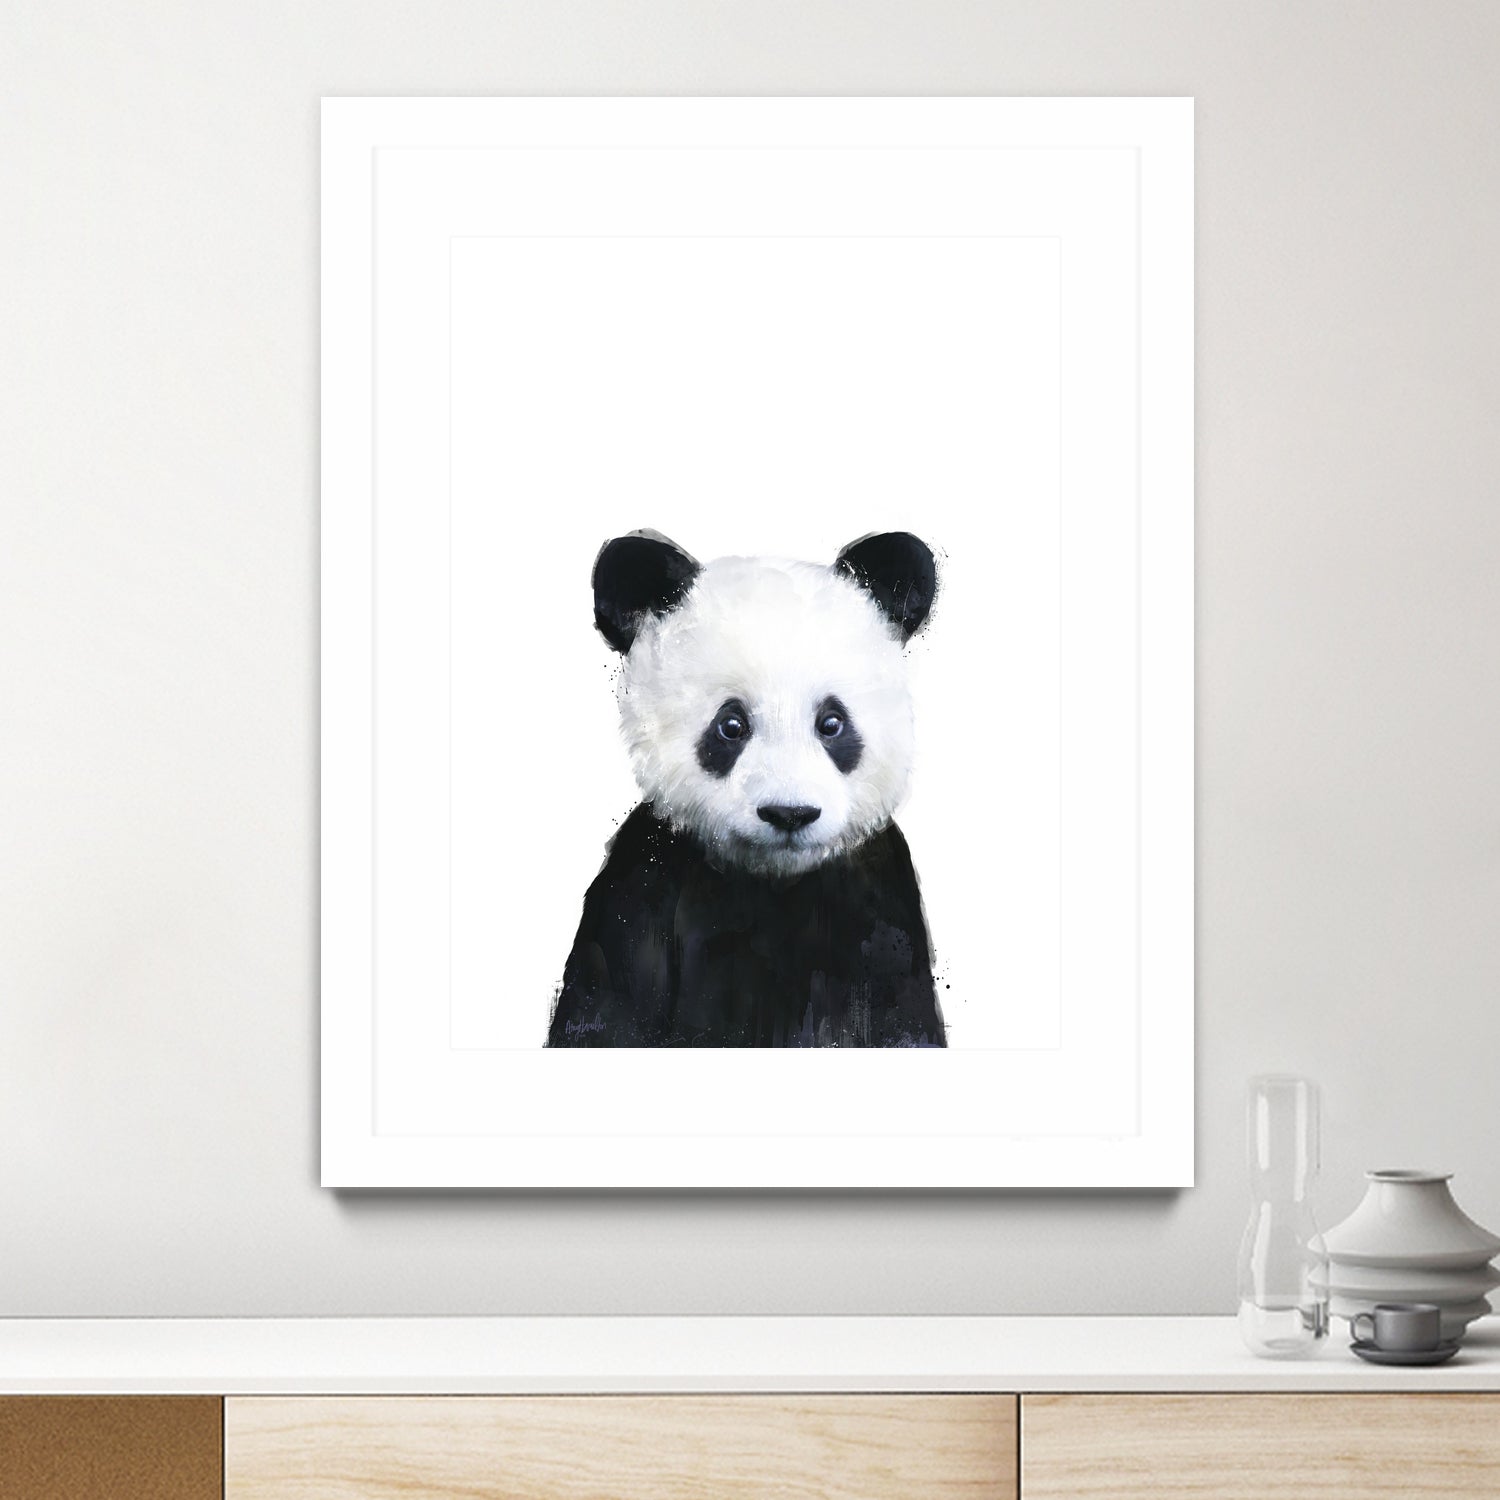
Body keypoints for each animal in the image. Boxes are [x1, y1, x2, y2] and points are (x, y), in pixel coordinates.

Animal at [546, 529, 945, 1048]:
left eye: (832, 723)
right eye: (731, 725)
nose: (789, 813)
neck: (773, 880)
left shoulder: (879, 903)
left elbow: (902, 1019)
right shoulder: (643, 886)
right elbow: (607, 1009)